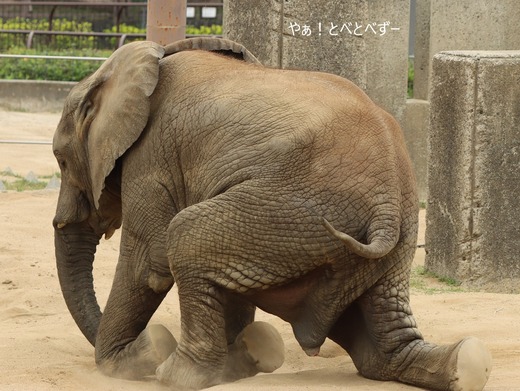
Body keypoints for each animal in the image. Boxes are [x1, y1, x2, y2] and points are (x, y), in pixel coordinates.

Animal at [52, 37, 492, 391]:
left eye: (60, 158)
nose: (137, 347)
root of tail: (387, 205)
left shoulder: (153, 157)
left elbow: (148, 264)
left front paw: (130, 358)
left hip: (291, 207)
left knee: (185, 237)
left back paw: (176, 374)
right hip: (380, 235)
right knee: (380, 335)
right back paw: (467, 365)